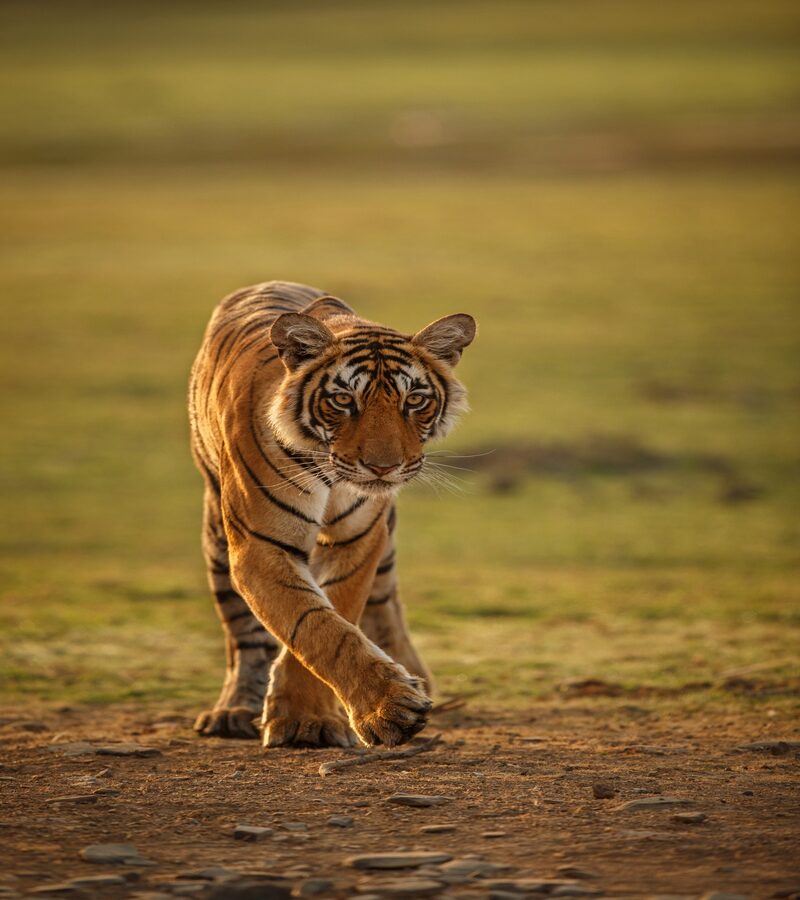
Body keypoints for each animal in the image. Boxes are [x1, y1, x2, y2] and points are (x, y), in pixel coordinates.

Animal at [188, 280, 476, 748]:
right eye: (343, 400)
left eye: (415, 400)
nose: (383, 468)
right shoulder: (261, 545)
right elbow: (314, 626)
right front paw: (384, 709)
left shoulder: (359, 540)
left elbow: (335, 614)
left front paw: (311, 718)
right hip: (217, 532)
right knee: (242, 636)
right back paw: (233, 710)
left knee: (384, 598)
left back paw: (417, 675)